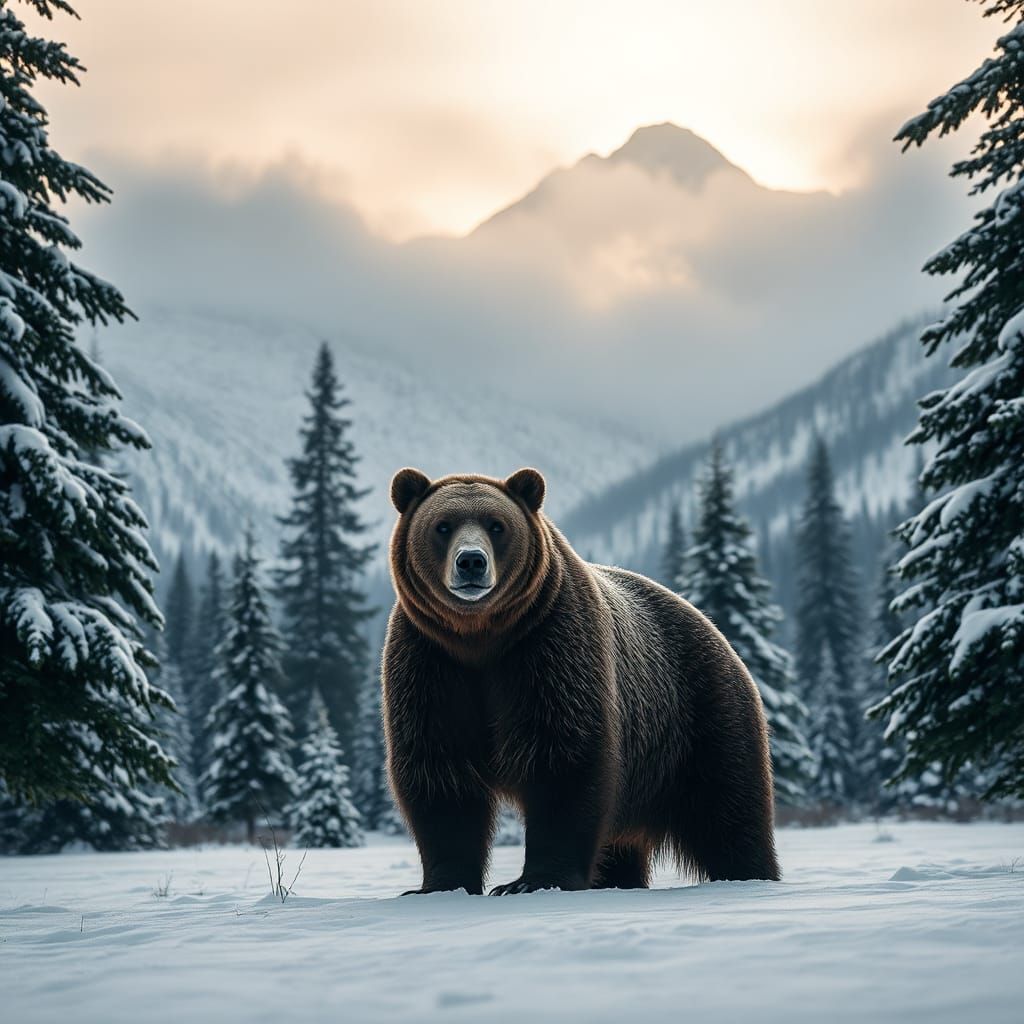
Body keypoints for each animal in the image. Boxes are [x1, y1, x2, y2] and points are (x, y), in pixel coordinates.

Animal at [382, 466, 780, 895]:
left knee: (729, 807)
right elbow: (439, 773)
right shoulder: (431, 665)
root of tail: (715, 629)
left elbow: (563, 759)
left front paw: (532, 881)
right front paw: (440, 884)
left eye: (496, 525)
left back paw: (751, 873)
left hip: (698, 716)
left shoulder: (550, 649)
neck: (480, 638)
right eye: (442, 525)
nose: (471, 561)